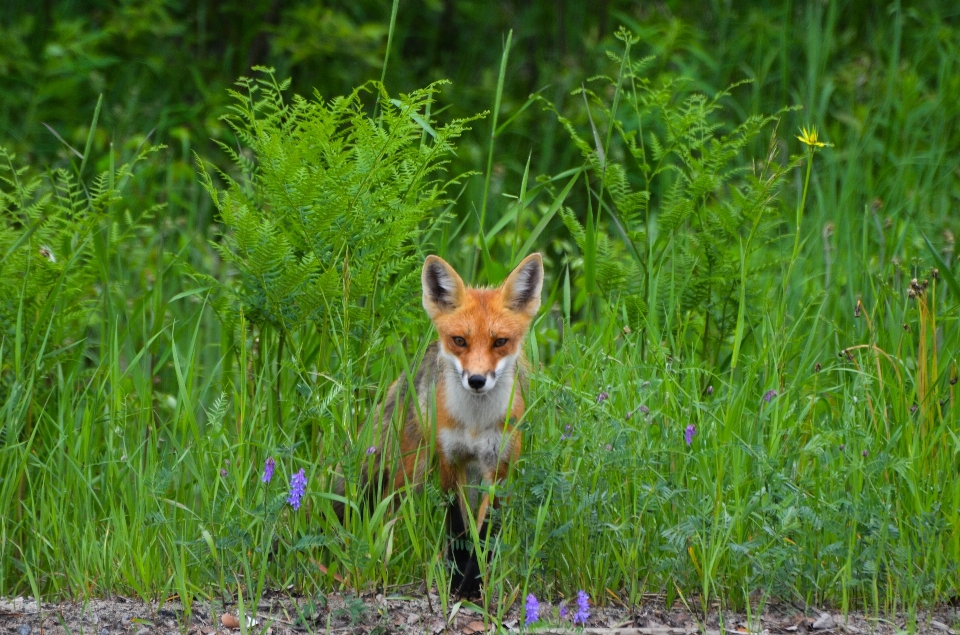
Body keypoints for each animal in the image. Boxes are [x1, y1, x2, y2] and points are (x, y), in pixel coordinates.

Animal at [342, 252, 544, 596]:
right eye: (460, 340)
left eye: (500, 342)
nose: (476, 380)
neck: (475, 423)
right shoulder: (451, 461)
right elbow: (459, 530)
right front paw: (457, 584)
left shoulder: (499, 468)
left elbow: (485, 534)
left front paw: (473, 586)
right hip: (409, 474)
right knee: (384, 515)